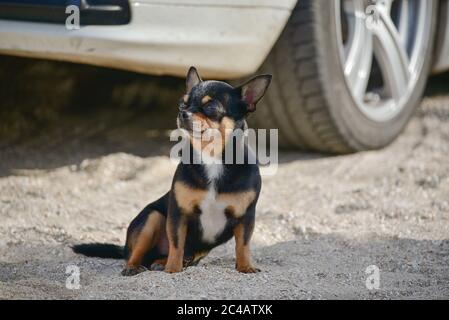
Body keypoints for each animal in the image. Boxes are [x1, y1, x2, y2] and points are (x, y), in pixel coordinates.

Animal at [72, 67, 270, 276]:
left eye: (210, 107)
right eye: (182, 103)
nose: (183, 112)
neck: (212, 158)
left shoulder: (246, 218)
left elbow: (243, 245)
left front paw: (245, 266)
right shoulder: (178, 214)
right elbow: (176, 244)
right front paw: (172, 270)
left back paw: (161, 262)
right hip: (151, 219)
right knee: (136, 253)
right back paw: (136, 266)